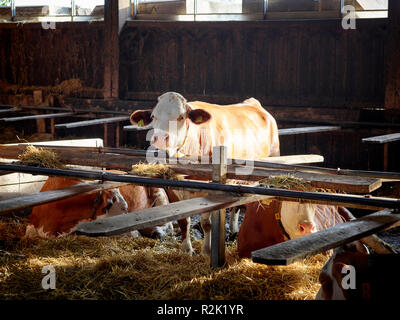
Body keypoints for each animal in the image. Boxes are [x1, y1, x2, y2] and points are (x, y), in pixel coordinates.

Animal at [130, 92, 280, 255]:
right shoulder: (174, 188)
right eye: (153, 116)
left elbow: (206, 222)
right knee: (235, 206)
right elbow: (183, 221)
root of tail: (253, 103)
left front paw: (207, 250)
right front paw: (187, 250)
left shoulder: (211, 188)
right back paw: (233, 232)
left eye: (181, 117)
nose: (160, 141)